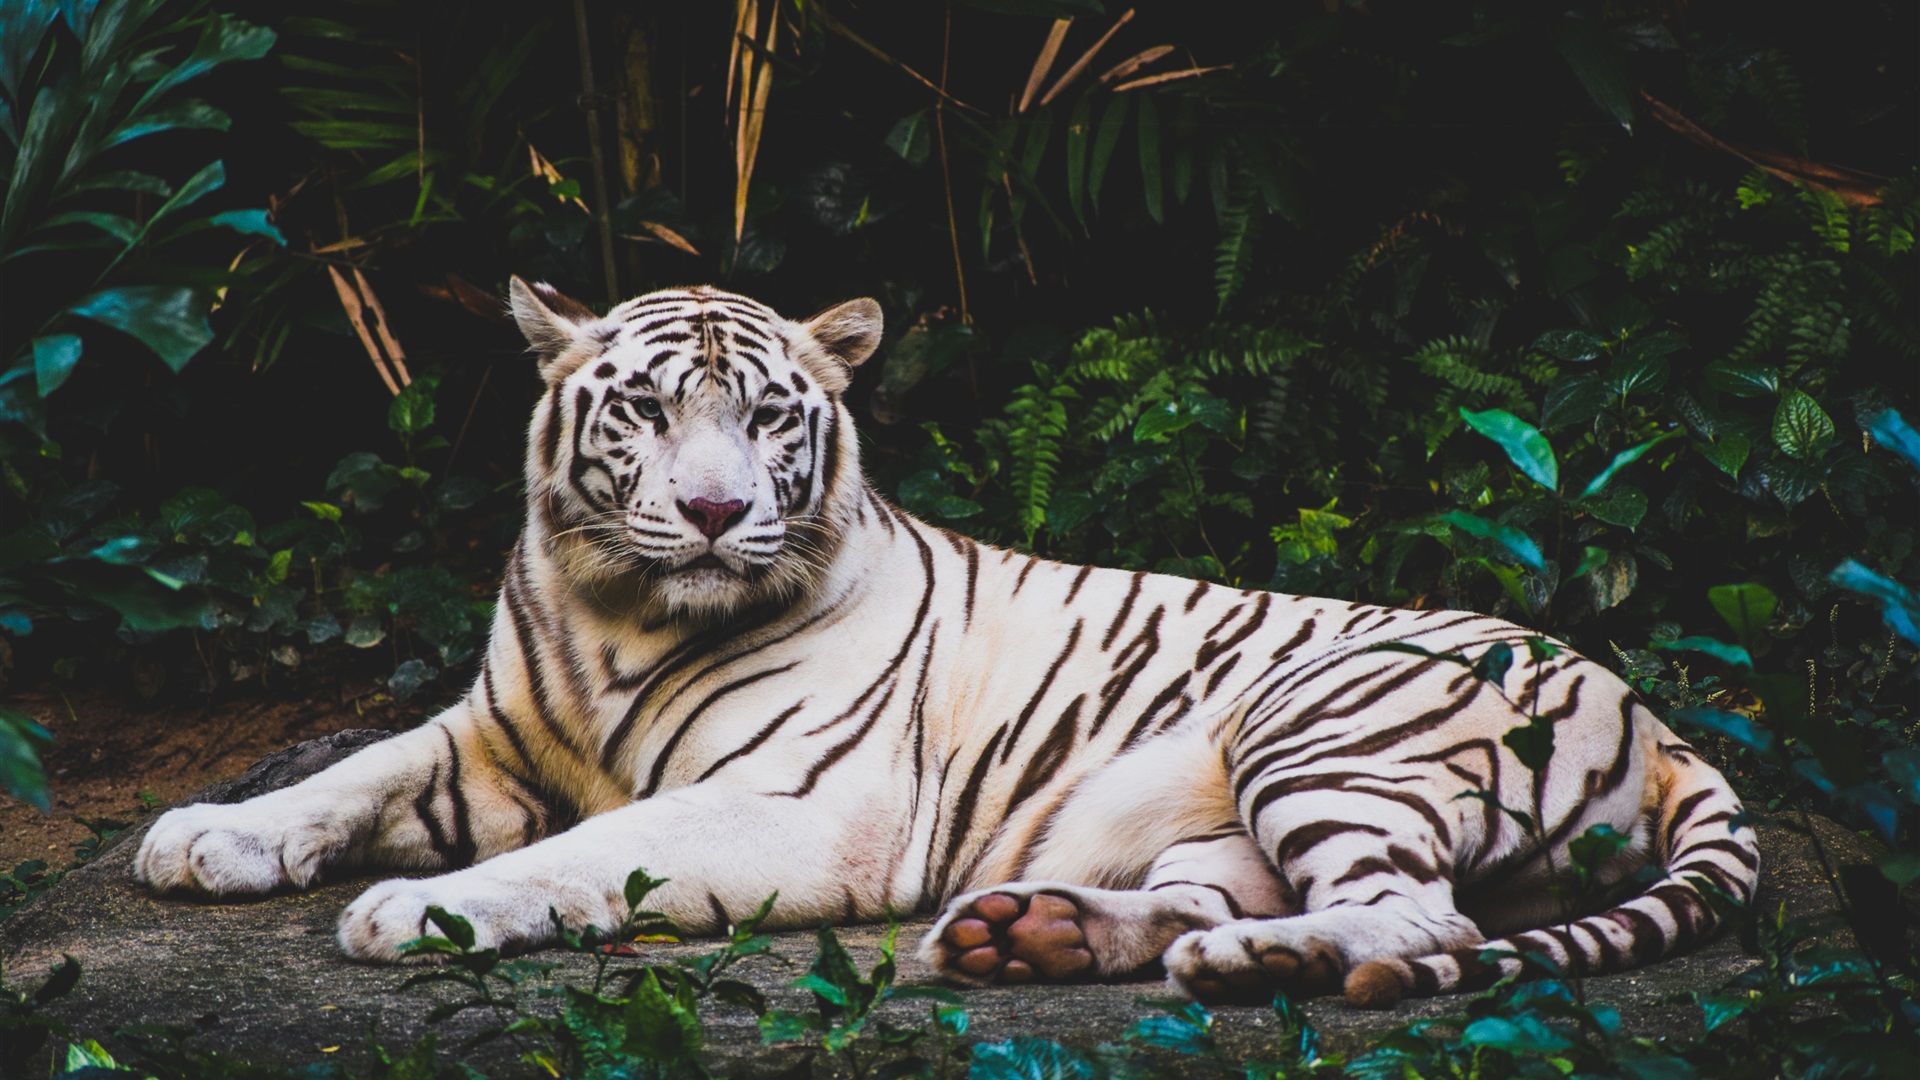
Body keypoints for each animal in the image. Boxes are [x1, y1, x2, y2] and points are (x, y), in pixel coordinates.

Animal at [132, 278, 1759, 1008]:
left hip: (1324, 726)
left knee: (1425, 921)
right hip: (1224, 810)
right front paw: (205, 836)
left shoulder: (798, 808)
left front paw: (418, 912)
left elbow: (582, 855)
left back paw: (1259, 963)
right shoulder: (489, 733)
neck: (618, 613)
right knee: (1223, 895)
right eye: (647, 410)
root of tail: (1659, 718)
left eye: (768, 417)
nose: (715, 512)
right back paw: (1034, 932)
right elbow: (350, 770)